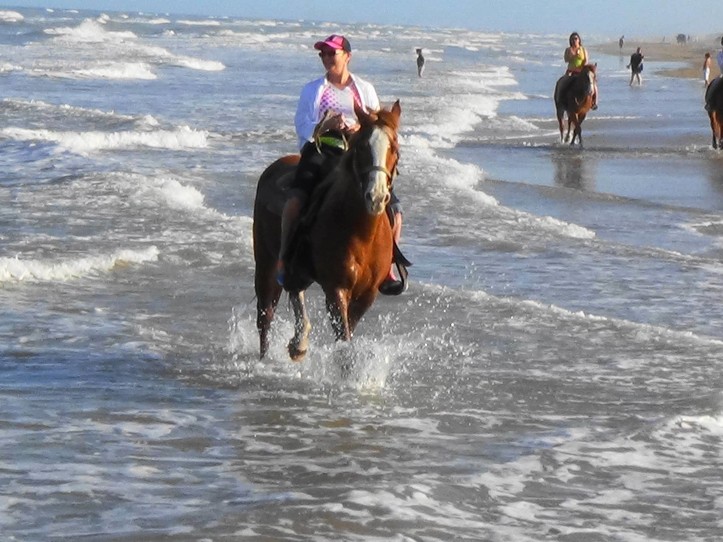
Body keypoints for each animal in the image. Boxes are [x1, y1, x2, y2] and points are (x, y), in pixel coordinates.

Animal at [253, 100, 402, 364]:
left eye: (394, 147)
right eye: (362, 147)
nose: (376, 196)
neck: (362, 235)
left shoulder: (367, 295)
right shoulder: (336, 289)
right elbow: (344, 341)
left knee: (295, 291)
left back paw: (299, 342)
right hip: (265, 262)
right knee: (265, 316)